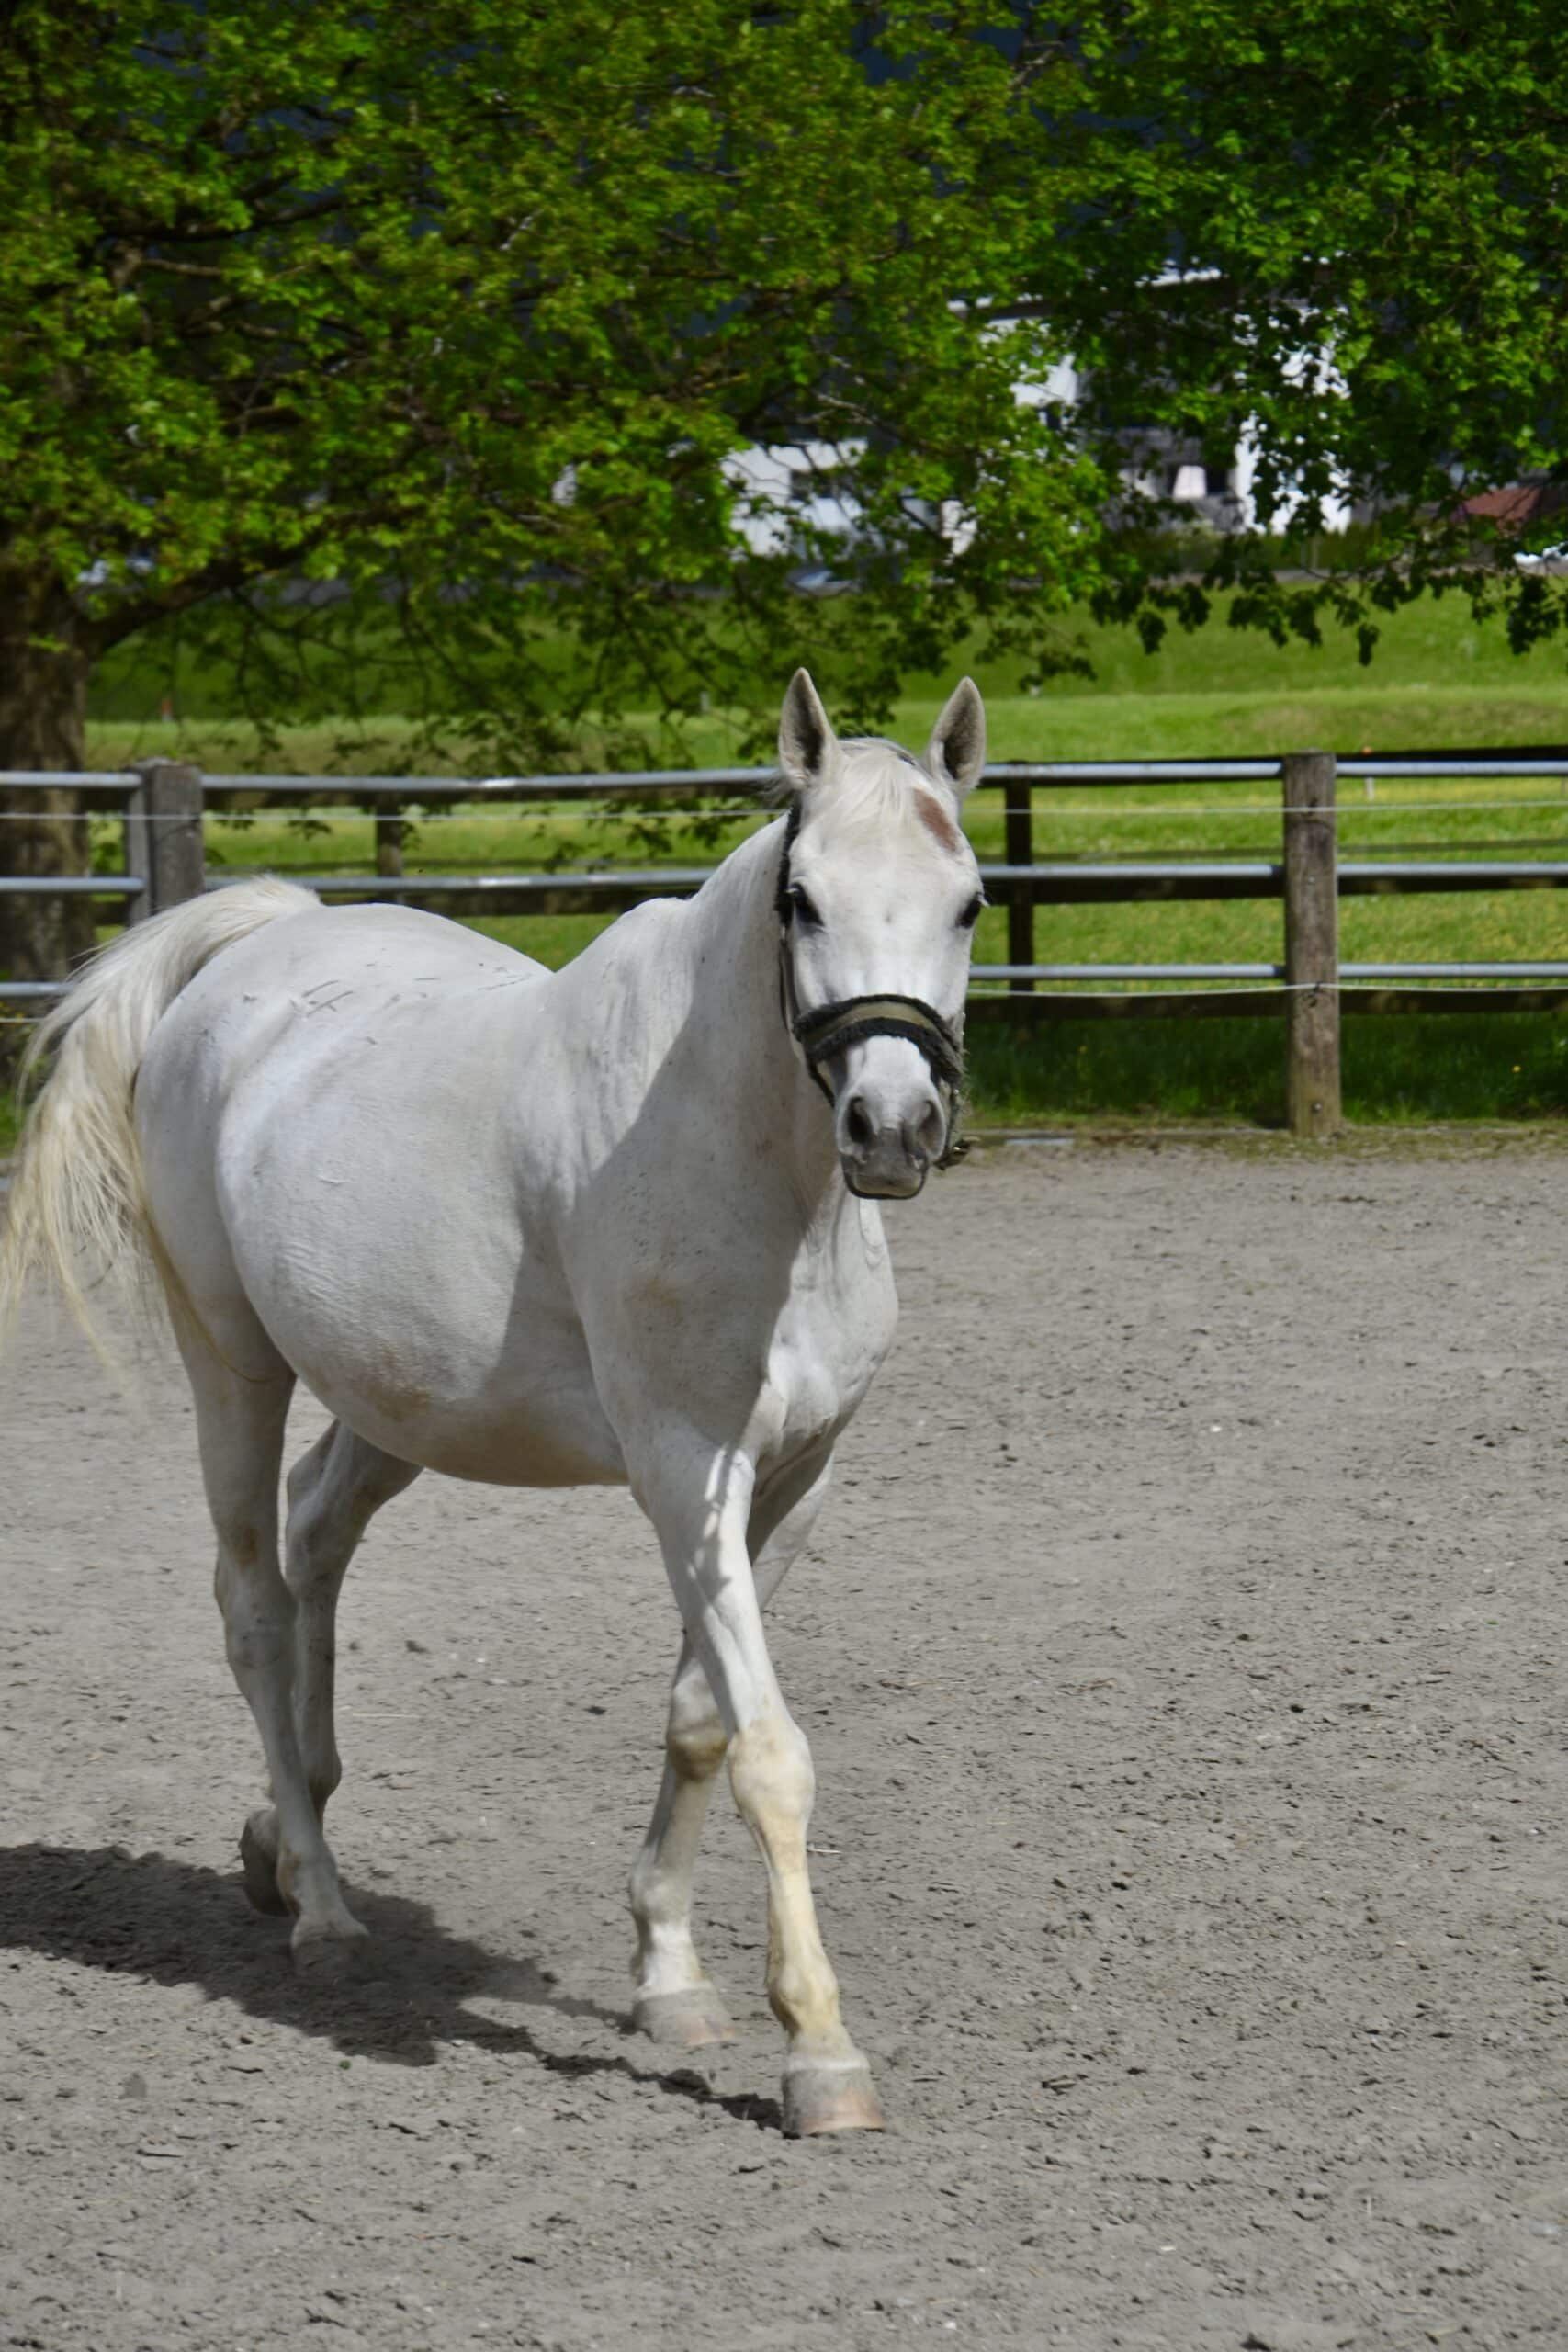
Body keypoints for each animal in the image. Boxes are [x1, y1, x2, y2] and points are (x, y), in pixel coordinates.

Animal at [0, 673, 982, 2144]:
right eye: (801, 899)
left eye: (967, 901)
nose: (891, 1125)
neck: (744, 1160)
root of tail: (257, 943)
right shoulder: (685, 1472)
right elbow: (768, 1749)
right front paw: (818, 2050)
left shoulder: (795, 1479)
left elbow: (700, 1721)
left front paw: (669, 1979)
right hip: (233, 1365)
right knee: (252, 1602)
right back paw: (325, 1914)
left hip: (393, 1401)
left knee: (315, 1540)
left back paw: (280, 1838)